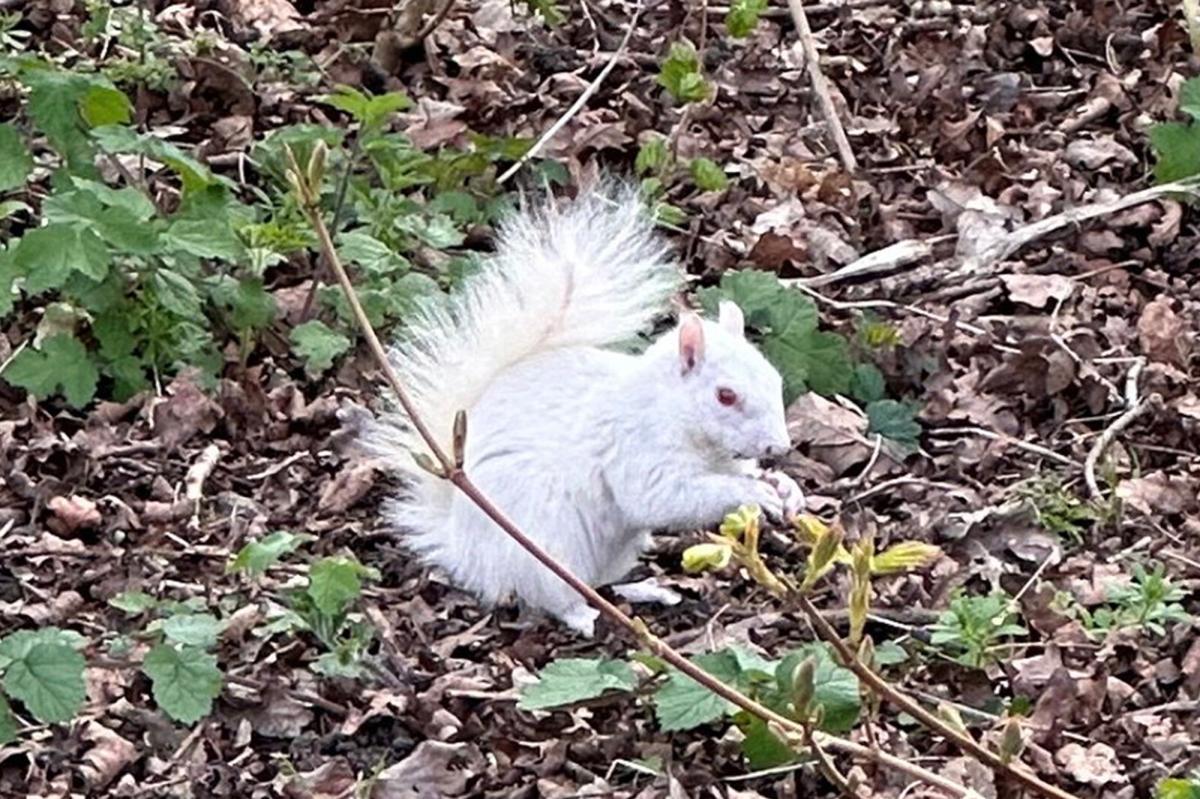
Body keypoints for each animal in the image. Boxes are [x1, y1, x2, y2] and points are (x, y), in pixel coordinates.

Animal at [358, 183, 804, 636]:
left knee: (602, 582)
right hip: (543, 549)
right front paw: (754, 493)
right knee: (554, 595)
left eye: (774, 379)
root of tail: (466, 553)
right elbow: (661, 497)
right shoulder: (637, 449)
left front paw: (786, 488)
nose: (780, 447)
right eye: (725, 396)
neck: (672, 412)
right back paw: (585, 615)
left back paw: (645, 591)